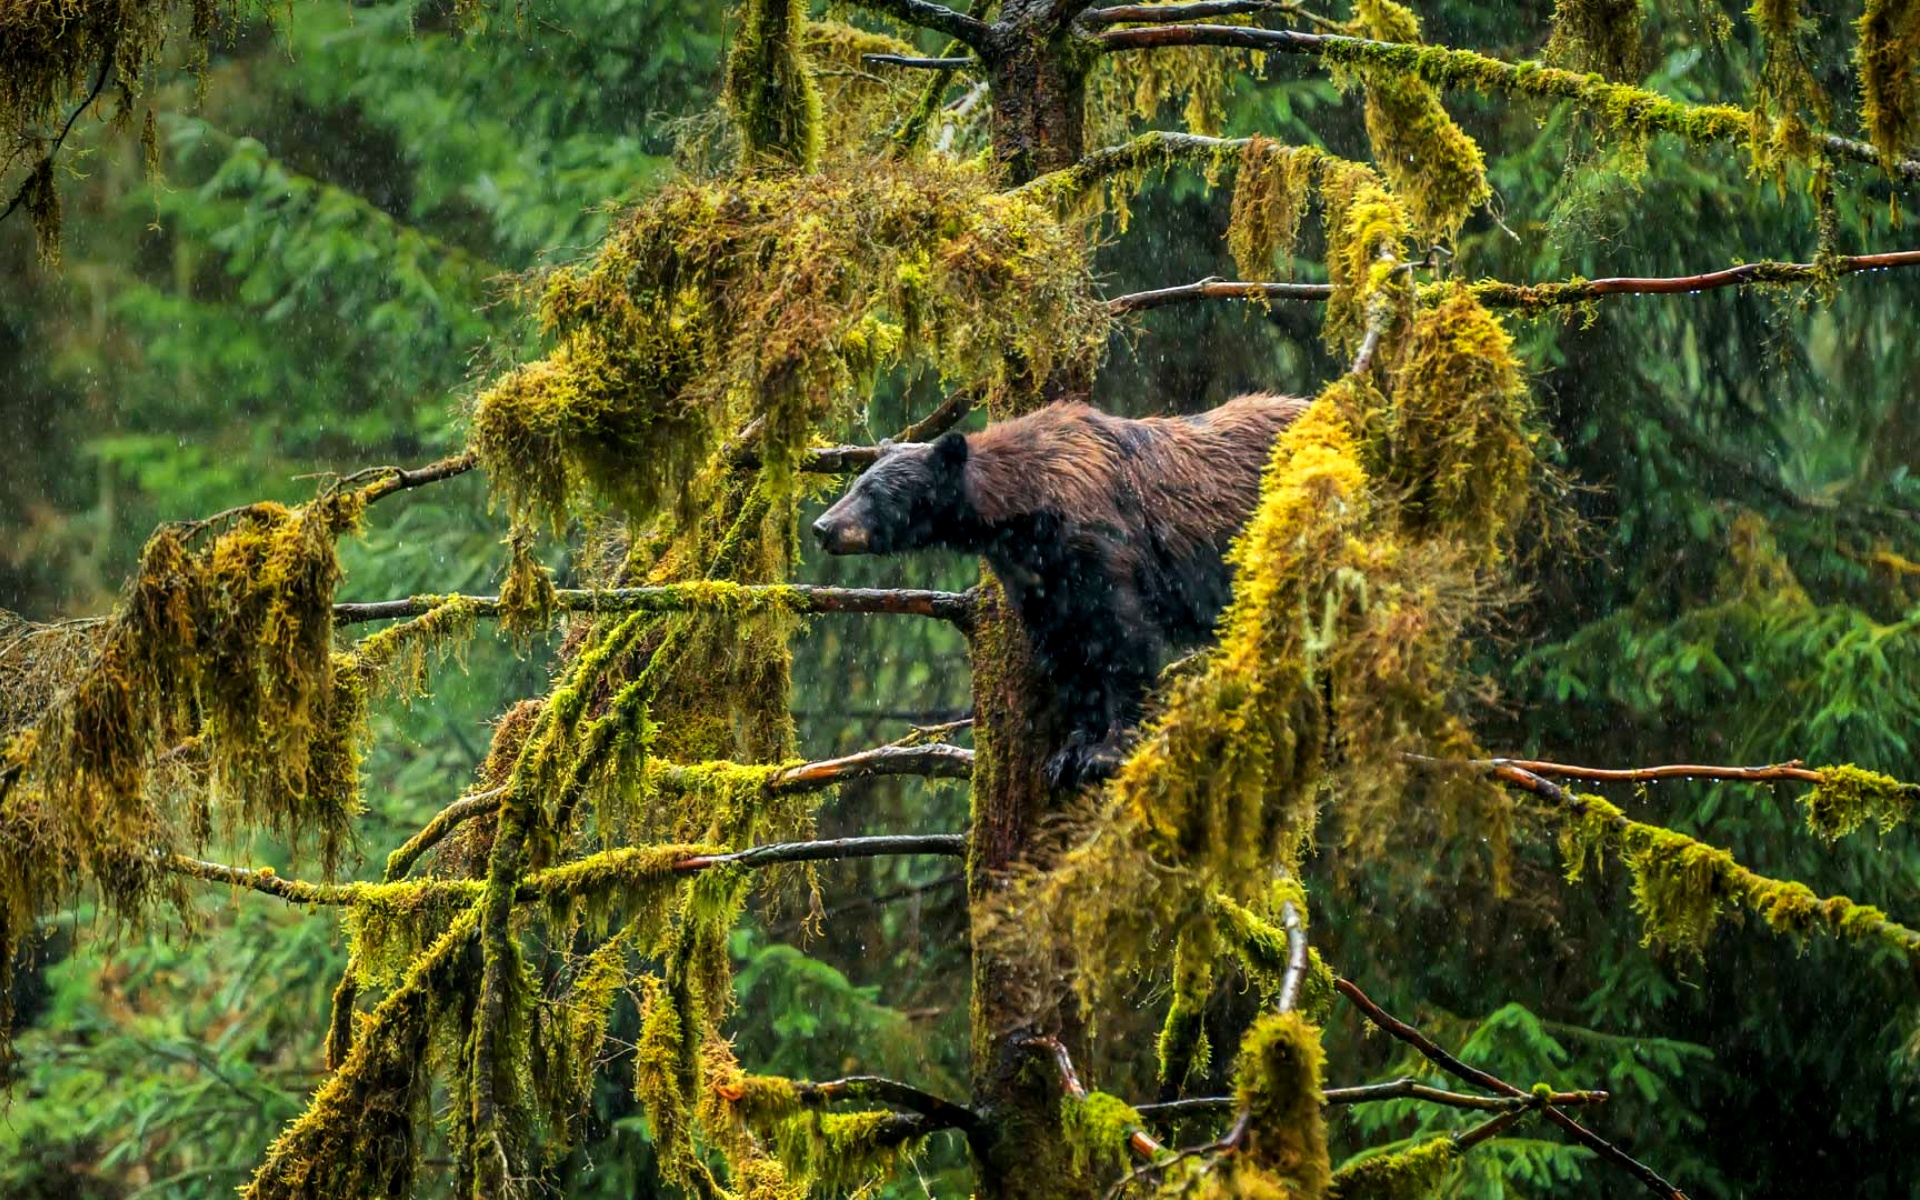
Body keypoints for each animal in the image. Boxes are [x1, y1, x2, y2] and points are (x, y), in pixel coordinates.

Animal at [810, 391, 1305, 787]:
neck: (1026, 513)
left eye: (874, 493)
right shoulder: (1040, 581)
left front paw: (1107, 751)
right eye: (855, 482)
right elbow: (1068, 656)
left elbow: (1123, 641)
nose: (822, 527)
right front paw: (1070, 753)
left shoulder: (1101, 546)